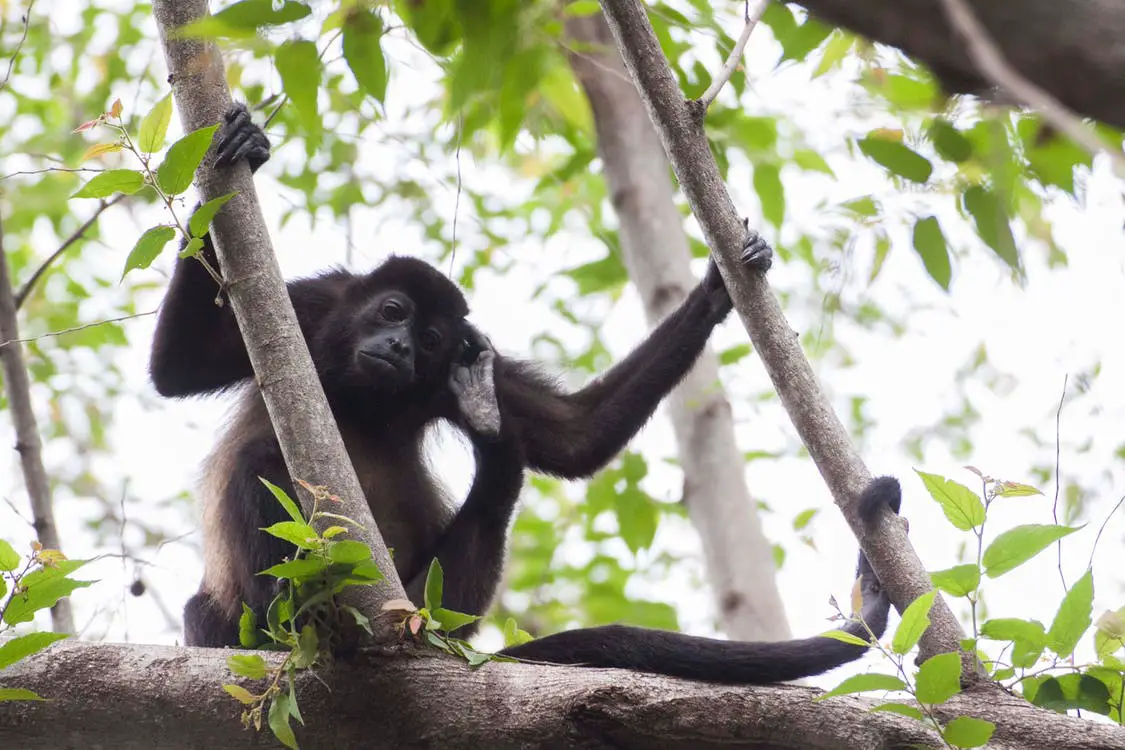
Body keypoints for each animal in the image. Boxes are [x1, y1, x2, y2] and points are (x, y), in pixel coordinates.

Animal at [156, 104, 904, 688]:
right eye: (393, 312)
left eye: (431, 340)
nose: (399, 349)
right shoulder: (310, 308)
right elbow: (178, 369)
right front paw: (234, 151)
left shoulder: (468, 357)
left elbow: (575, 436)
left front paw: (715, 289)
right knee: (257, 469)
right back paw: (281, 618)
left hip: (428, 605)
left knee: (491, 493)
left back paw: (492, 439)